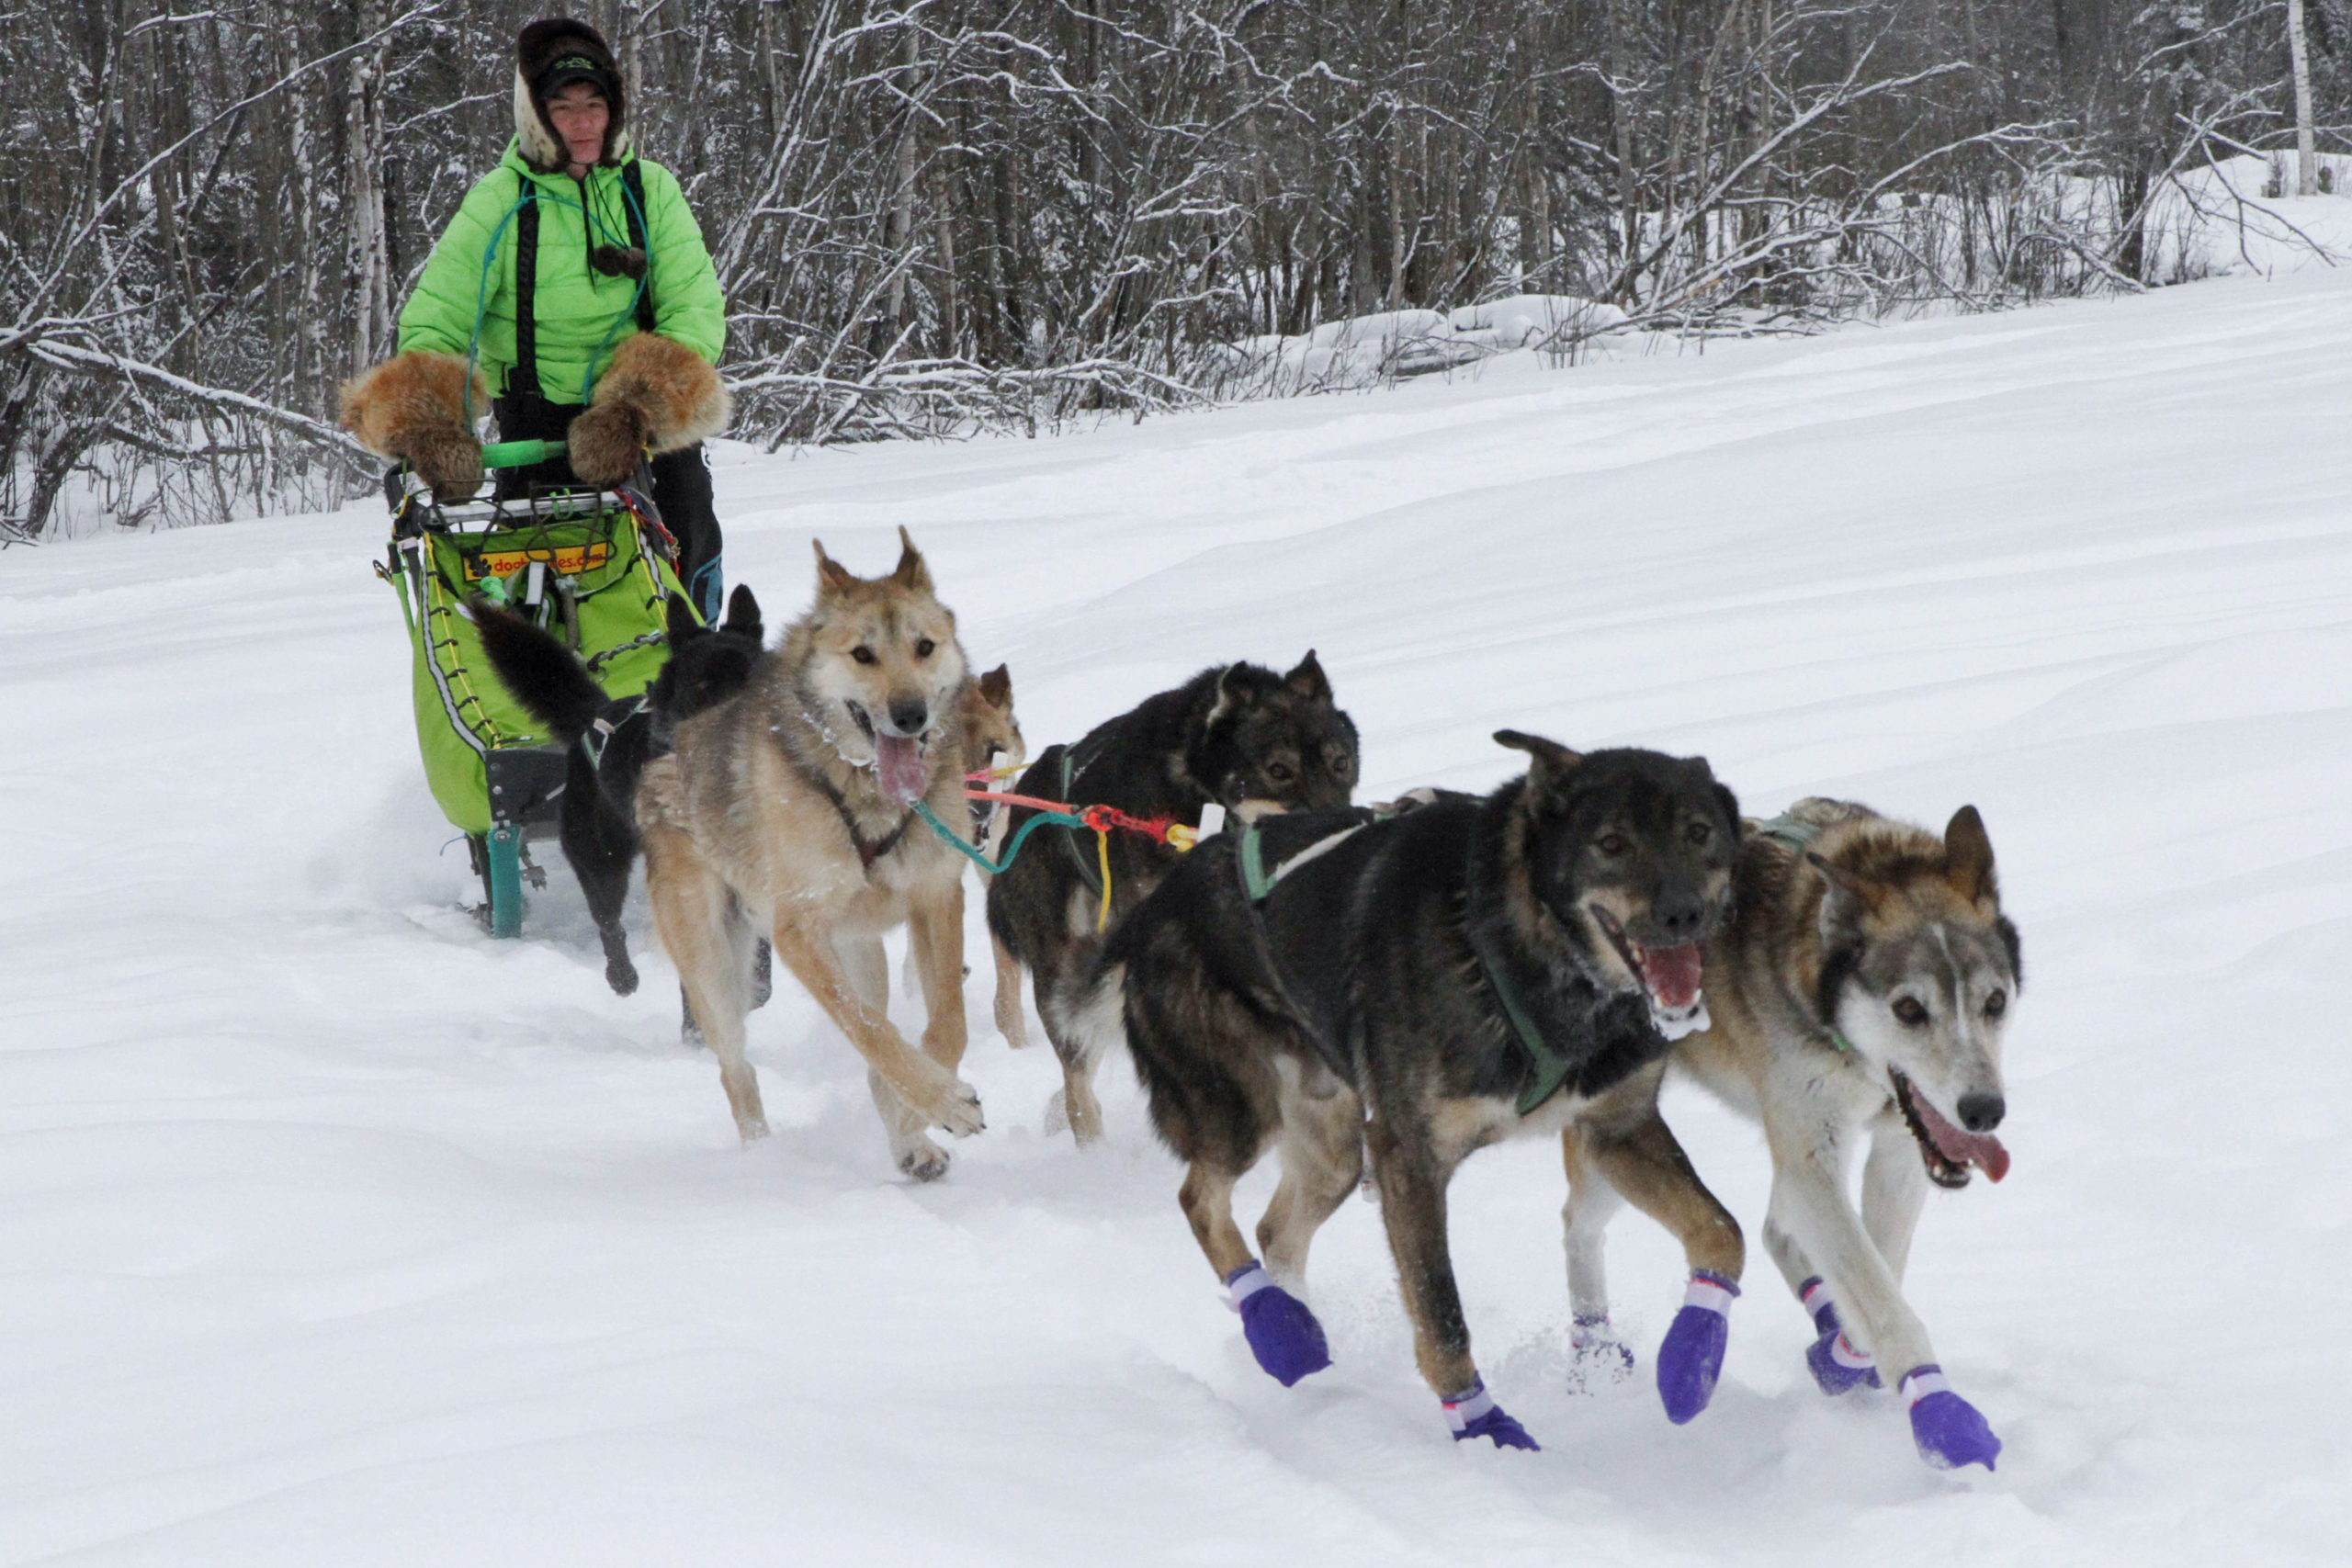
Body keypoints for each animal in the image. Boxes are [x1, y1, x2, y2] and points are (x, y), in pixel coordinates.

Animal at [472, 582, 766, 1001]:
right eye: (701, 688)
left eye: (748, 679)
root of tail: (596, 717)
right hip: (600, 859)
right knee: (608, 920)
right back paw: (622, 975)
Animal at [630, 526, 988, 1175]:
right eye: (863, 655)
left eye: (925, 647)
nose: (911, 714)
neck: (865, 790)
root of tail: (672, 755)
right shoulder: (797, 934)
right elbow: (868, 1031)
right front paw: (941, 1101)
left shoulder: (936, 897)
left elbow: (945, 1027)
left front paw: (919, 1112)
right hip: (718, 973)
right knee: (736, 1070)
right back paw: (763, 1157)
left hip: (858, 950)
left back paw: (908, 1142)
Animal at [1081, 738, 1749, 1448]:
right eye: (1612, 842)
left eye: (1699, 832)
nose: (1685, 913)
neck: (1514, 951)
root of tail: (1151, 909)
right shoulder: (1409, 1159)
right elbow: (1440, 1313)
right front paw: (1484, 1429)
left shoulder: (1617, 1128)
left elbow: (1722, 1233)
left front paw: (1691, 1356)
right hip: (1239, 1113)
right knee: (1200, 1200)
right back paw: (1275, 1328)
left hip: (1336, 1148)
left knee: (1275, 1228)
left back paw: (1302, 1333)